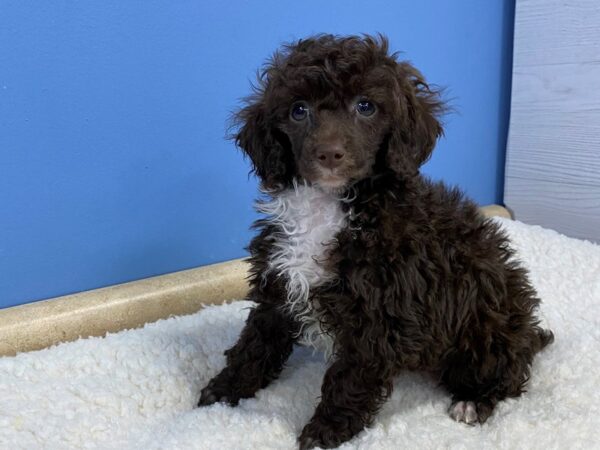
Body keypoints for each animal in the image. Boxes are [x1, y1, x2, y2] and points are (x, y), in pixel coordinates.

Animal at [198, 35, 552, 450]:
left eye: (365, 106)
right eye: (298, 110)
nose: (329, 154)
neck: (331, 205)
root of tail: (529, 333)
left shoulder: (379, 312)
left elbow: (351, 376)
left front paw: (326, 431)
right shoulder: (279, 284)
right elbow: (255, 343)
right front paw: (223, 392)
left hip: (489, 331)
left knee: (506, 377)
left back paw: (473, 402)